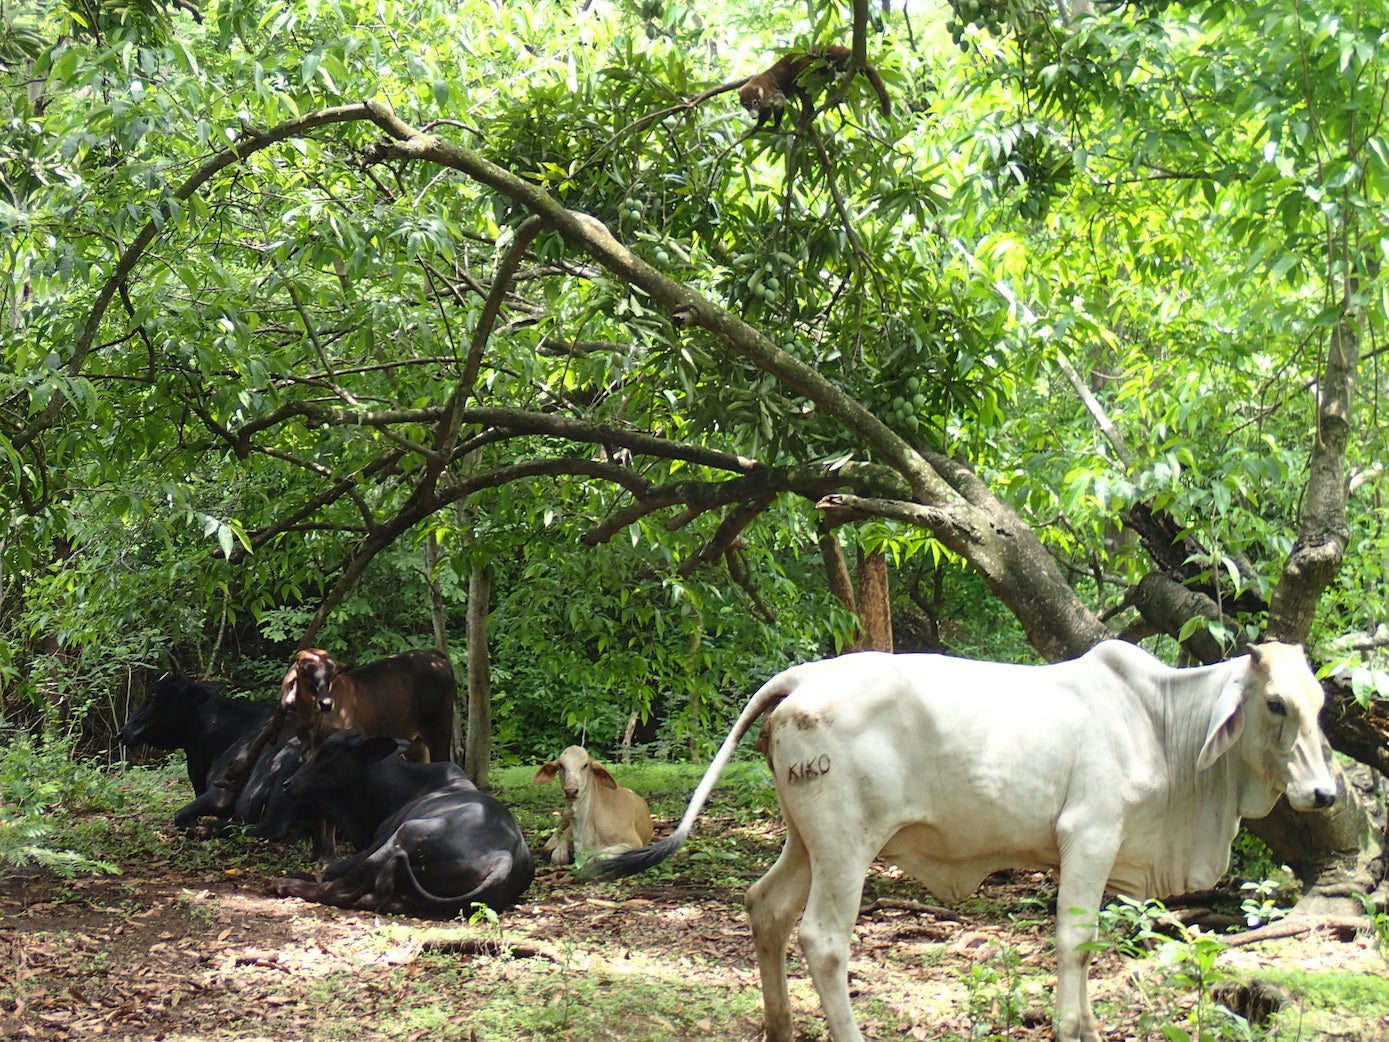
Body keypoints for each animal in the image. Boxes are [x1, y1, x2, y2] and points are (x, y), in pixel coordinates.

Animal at [270, 727, 534, 917]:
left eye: (328, 752)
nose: (287, 783)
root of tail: (504, 856)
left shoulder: (376, 841)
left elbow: (331, 871)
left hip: (404, 834)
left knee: (339, 889)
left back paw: (284, 883)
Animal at [280, 648, 456, 763]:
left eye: (331, 674)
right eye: (304, 673)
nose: (326, 703)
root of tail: (436, 655)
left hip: (438, 732)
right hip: (418, 739)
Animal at [594, 641, 1338, 1042]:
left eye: (1321, 704)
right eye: (1275, 703)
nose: (1324, 794)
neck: (1158, 722)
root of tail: (804, 676)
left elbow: (1089, 941)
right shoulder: (1088, 833)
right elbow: (1073, 939)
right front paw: (1070, 1027)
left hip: (803, 841)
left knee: (764, 906)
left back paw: (780, 1026)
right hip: (846, 845)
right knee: (822, 938)